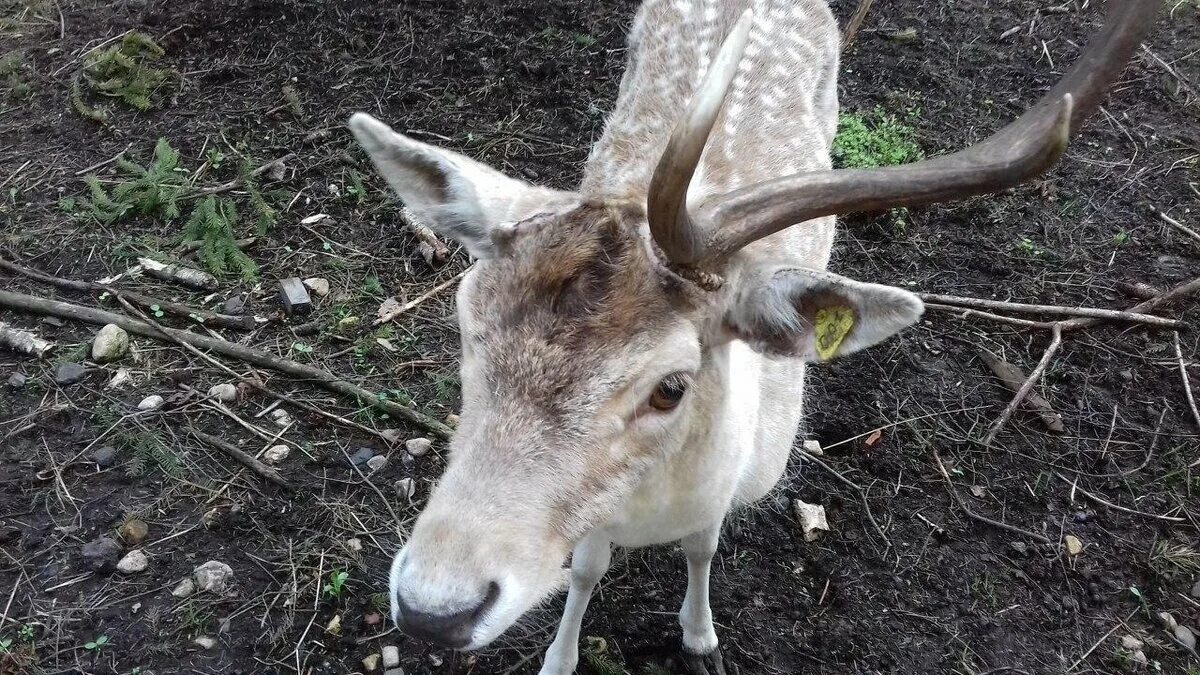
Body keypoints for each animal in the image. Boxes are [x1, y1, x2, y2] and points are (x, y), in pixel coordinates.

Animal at [345, 2, 1152, 667]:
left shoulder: (729, 489)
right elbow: (586, 567)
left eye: (671, 386)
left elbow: (704, 548)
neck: (653, 511)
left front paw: (700, 638)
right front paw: (561, 657)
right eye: (466, 324)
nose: (432, 609)